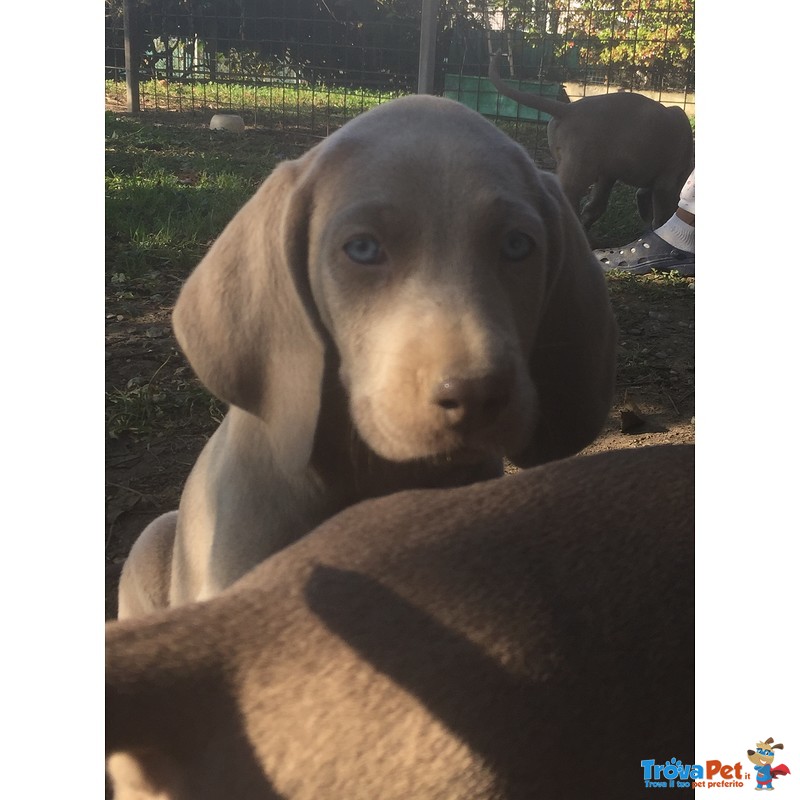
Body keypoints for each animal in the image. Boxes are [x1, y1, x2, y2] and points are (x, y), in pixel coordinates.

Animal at [488, 52, 692, 231]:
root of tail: (567, 109)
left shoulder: (609, 175)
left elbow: (597, 206)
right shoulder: (667, 181)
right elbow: (662, 215)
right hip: (579, 170)